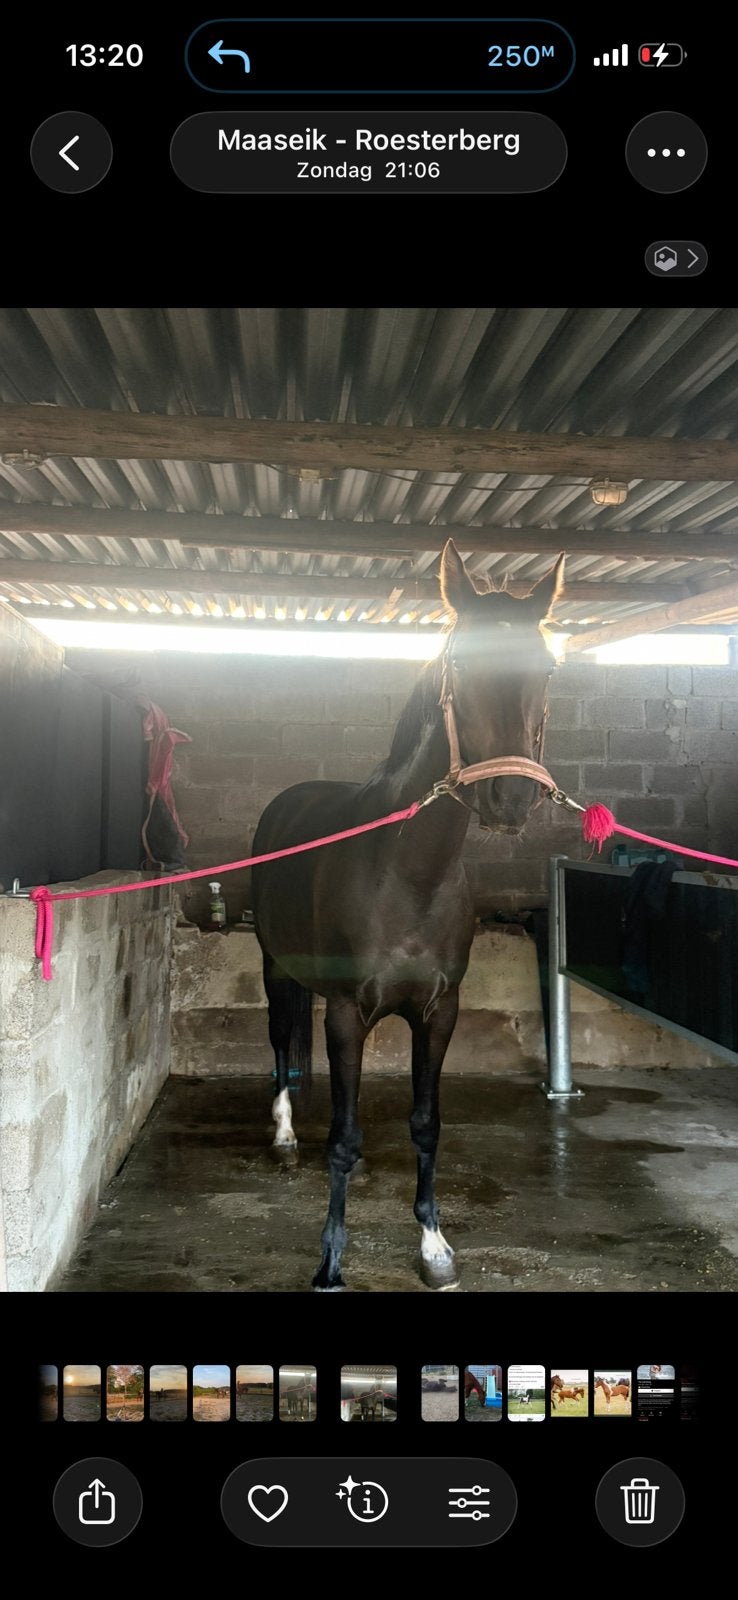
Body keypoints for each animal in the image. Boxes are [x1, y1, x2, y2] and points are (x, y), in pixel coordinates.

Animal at [252, 540, 565, 1291]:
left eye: (545, 668)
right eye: (461, 665)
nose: (510, 799)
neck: (409, 872)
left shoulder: (438, 1012)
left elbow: (426, 1124)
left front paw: (434, 1245)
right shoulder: (346, 1014)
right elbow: (344, 1140)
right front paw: (330, 1262)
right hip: (275, 967)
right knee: (278, 1038)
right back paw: (283, 1134)